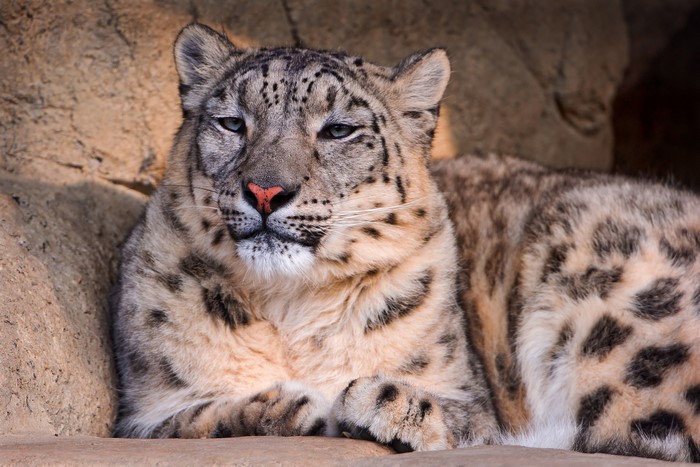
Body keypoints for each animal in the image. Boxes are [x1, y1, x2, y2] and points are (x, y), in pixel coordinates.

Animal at [110, 23, 700, 462]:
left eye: (338, 129)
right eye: (232, 122)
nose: (265, 191)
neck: (290, 308)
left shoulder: (469, 392)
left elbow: (478, 419)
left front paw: (375, 401)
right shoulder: (145, 408)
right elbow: (185, 420)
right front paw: (282, 406)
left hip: (619, 317)